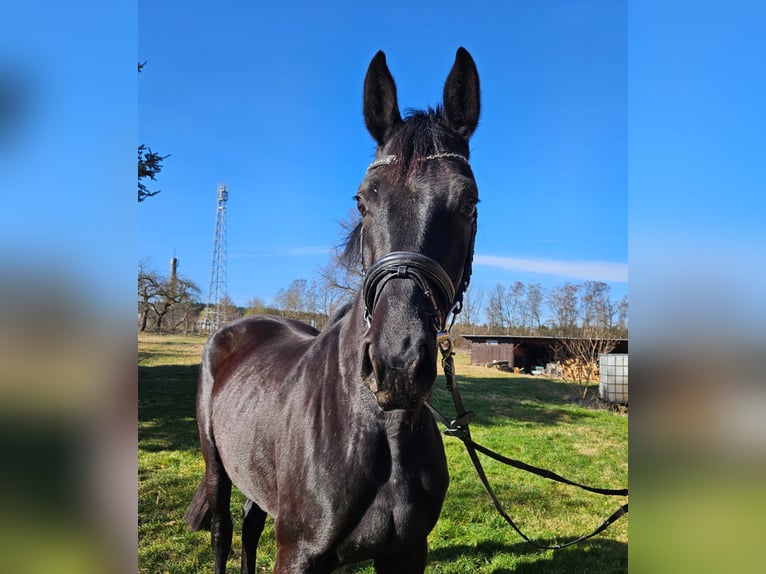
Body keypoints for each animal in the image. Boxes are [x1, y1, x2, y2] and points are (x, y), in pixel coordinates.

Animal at [185, 47, 481, 573]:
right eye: (362, 201)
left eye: (469, 202)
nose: (397, 365)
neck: (380, 430)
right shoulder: (299, 555)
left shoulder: (408, 553)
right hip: (216, 466)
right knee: (222, 532)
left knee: (249, 527)